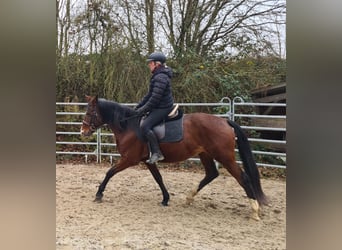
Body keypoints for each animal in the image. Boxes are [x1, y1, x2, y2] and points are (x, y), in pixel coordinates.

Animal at [81, 95, 270, 221]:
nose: (83, 131)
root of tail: (225, 122)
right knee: (211, 174)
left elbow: (109, 173)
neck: (129, 126)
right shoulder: (148, 161)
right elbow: (158, 178)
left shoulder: (129, 159)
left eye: (90, 112)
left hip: (225, 157)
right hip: (205, 154)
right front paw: (165, 199)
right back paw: (189, 198)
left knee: (243, 178)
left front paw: (99, 194)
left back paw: (254, 210)